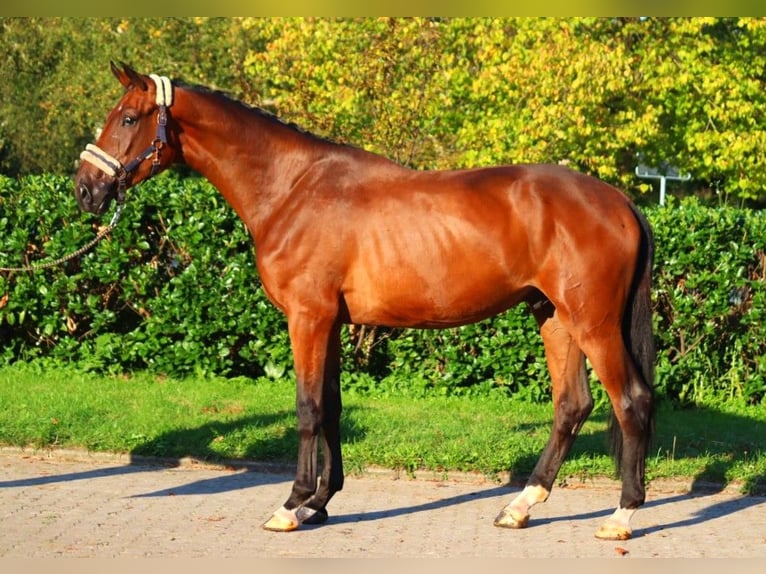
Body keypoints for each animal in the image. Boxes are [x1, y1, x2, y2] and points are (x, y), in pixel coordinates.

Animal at [75, 65, 656, 544]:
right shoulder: (332, 322)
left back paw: (621, 516)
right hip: (554, 317)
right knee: (572, 406)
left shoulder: (307, 318)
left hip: (593, 323)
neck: (292, 188)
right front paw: (319, 503)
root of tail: (619, 200)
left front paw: (290, 505)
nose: (85, 189)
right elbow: (330, 406)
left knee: (630, 402)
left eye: (128, 118)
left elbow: (307, 409)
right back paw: (520, 506)